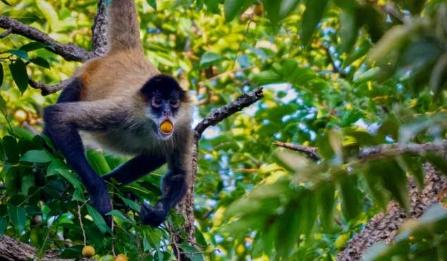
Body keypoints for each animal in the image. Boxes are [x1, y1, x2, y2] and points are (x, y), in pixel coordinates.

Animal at [43, 0, 193, 225]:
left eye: (173, 103)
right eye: (157, 102)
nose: (167, 111)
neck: (148, 124)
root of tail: (128, 52)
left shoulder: (183, 125)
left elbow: (178, 174)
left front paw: (158, 212)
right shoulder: (123, 109)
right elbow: (57, 117)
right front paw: (100, 192)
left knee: (157, 153)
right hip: (84, 78)